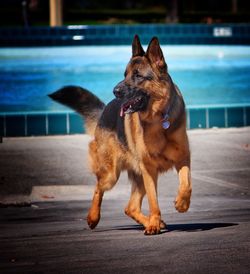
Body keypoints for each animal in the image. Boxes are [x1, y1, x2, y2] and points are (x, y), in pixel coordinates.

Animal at [49, 35, 192, 234]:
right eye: (125, 74)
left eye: (138, 75)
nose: (115, 91)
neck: (158, 119)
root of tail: (104, 110)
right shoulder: (149, 169)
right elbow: (153, 202)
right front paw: (154, 223)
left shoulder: (182, 159)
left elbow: (186, 185)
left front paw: (181, 204)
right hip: (112, 174)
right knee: (98, 188)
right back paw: (93, 218)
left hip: (138, 177)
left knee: (129, 207)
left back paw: (151, 222)